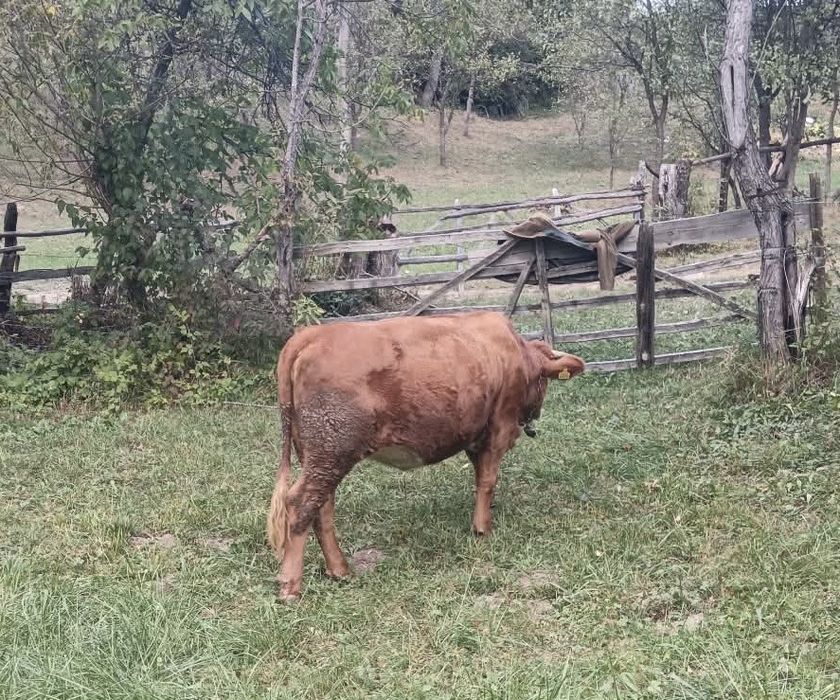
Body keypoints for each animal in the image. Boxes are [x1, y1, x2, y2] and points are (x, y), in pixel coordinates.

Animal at [267, 311, 585, 600]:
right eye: (544, 381)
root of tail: (312, 334)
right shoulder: (499, 429)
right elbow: (487, 482)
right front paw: (483, 529)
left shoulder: (474, 435)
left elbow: (479, 478)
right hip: (332, 449)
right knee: (301, 503)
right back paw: (291, 586)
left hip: (319, 455)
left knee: (322, 508)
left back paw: (340, 570)